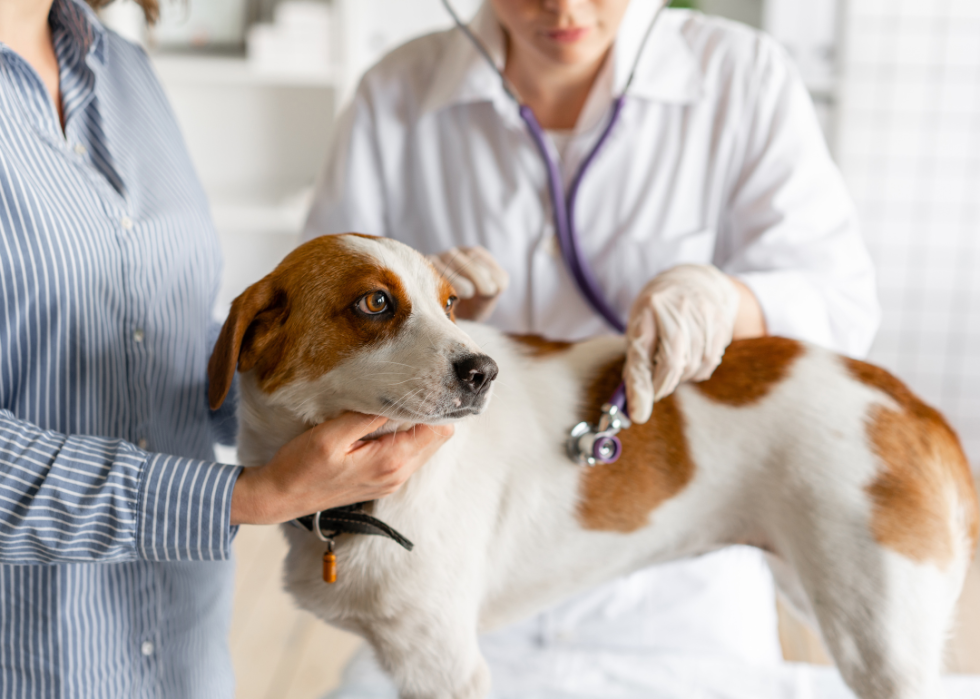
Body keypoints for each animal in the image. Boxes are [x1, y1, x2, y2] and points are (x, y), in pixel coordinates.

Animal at [209, 234, 980, 699]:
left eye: (451, 303)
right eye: (374, 301)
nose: (483, 371)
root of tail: (911, 402)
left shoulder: (443, 666)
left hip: (880, 642)